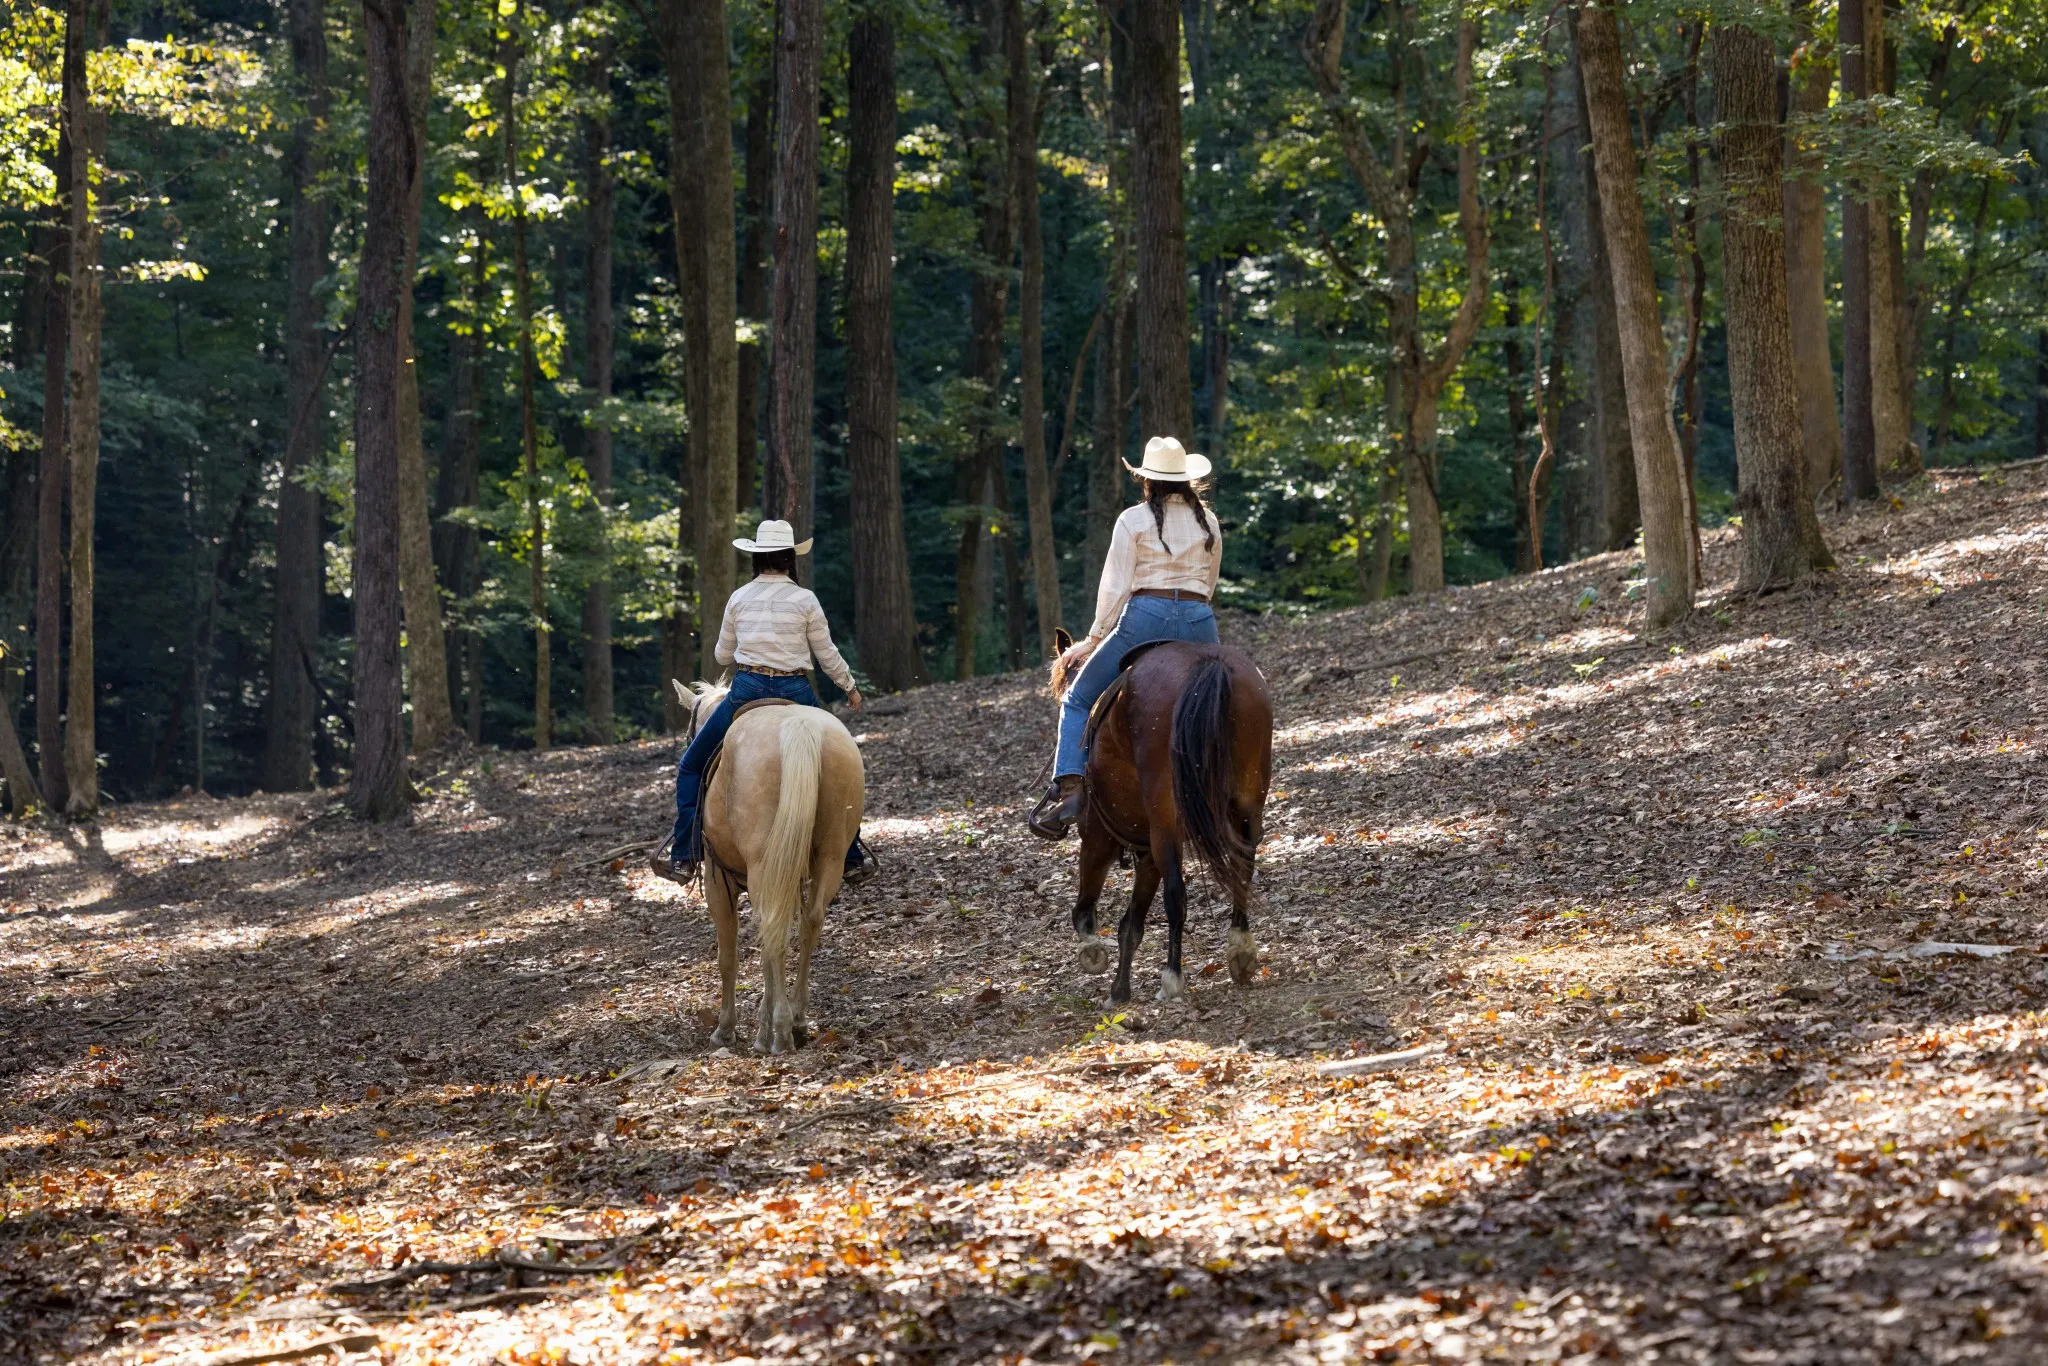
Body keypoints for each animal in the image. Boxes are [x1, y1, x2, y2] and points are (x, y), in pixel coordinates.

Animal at [672, 680, 866, 1054]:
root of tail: (799, 728)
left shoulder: (719, 881)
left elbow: (729, 957)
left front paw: (727, 1029)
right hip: (829, 856)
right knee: (808, 922)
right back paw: (797, 1021)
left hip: (764, 866)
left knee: (772, 929)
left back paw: (777, 1032)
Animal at [1048, 631, 1274, 1005]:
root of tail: (1209, 664)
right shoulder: (1145, 851)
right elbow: (1131, 925)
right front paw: (1119, 989)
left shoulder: (1097, 836)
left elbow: (1086, 910)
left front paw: (1093, 952)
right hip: (1247, 803)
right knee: (1241, 869)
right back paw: (1241, 951)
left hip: (1164, 821)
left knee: (1176, 895)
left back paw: (1172, 977)